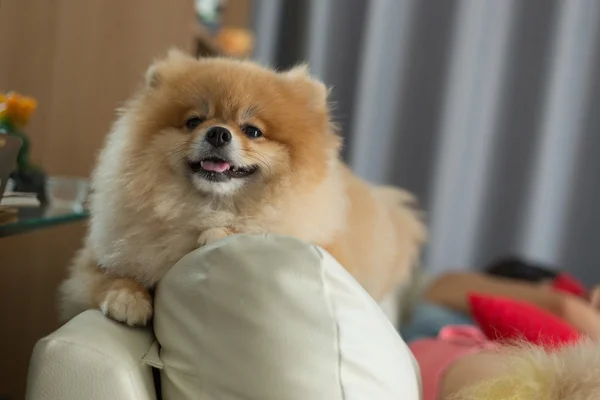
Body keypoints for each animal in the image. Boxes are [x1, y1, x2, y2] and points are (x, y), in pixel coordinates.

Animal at [59, 49, 426, 324]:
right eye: (194, 121)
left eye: (252, 131)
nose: (218, 132)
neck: (211, 205)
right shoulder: (99, 258)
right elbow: (102, 275)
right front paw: (127, 297)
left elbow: (252, 227)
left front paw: (219, 232)